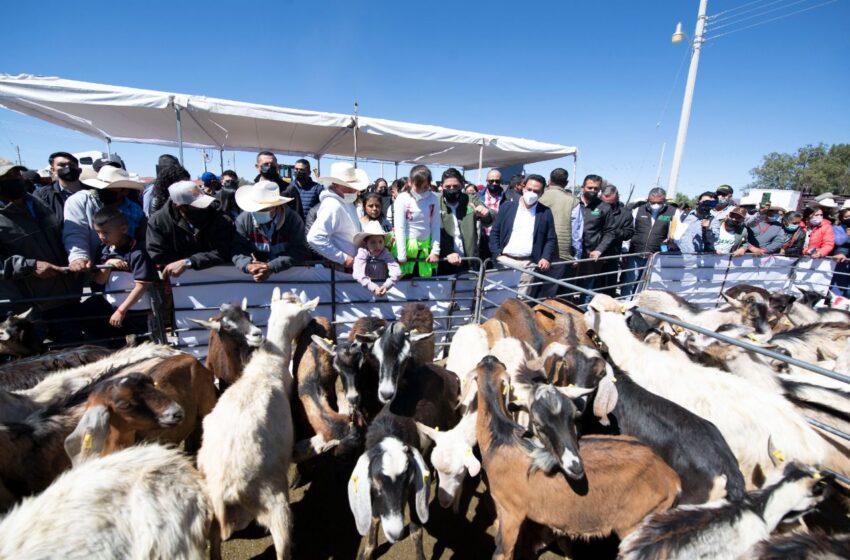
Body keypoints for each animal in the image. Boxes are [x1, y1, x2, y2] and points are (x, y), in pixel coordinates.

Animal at [197, 288, 316, 560]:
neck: (266, 367)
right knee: (282, 545)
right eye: (303, 311)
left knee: (214, 544)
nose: (312, 320)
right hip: (273, 501)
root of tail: (223, 486)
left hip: (209, 512)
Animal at [474, 356, 680, 556]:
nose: (489, 358)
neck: (501, 437)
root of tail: (671, 478)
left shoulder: (510, 511)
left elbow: (502, 551)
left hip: (634, 526)